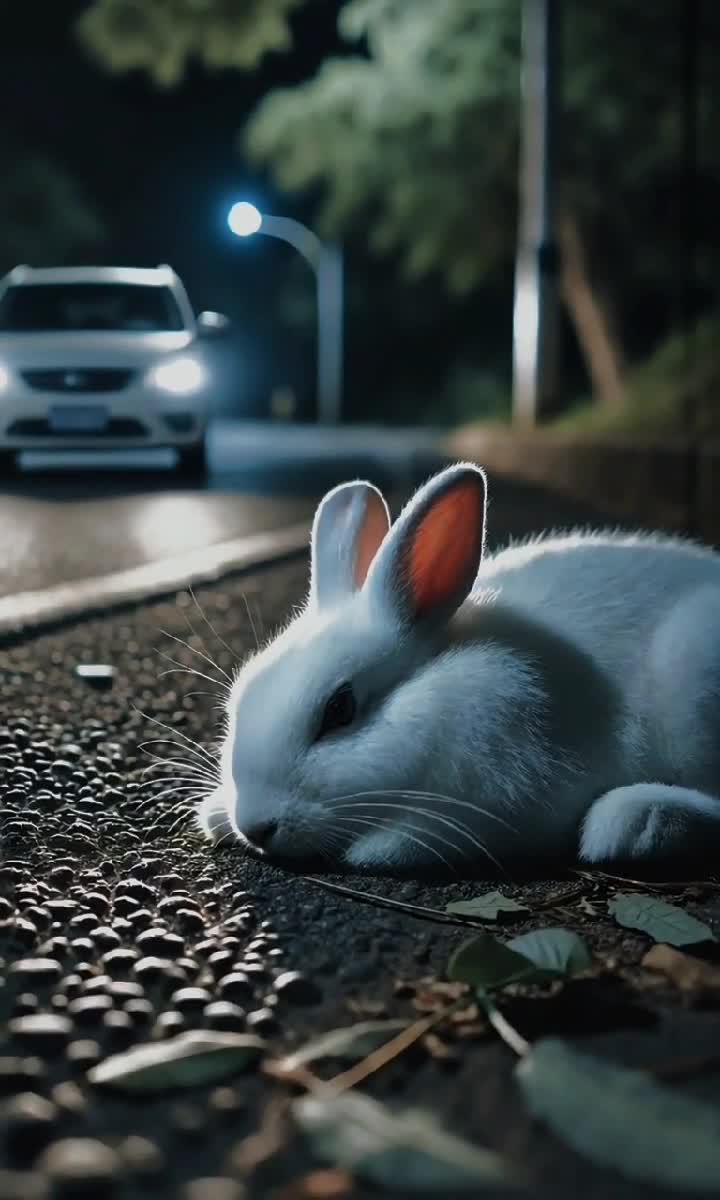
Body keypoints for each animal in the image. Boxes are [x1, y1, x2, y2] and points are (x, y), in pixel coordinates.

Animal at [198, 462, 720, 875]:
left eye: (339, 709)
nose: (256, 826)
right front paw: (216, 813)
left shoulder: (495, 798)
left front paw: (374, 849)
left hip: (692, 686)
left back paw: (631, 822)